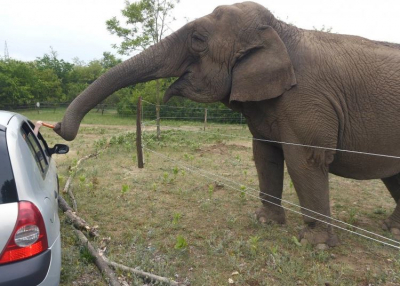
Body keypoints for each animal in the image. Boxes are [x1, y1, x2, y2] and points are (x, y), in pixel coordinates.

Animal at [54, 1, 400, 247]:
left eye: (197, 40)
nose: (58, 128)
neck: (280, 30)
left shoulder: (308, 100)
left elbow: (304, 160)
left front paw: (314, 246)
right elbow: (265, 155)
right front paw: (264, 222)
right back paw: (390, 229)